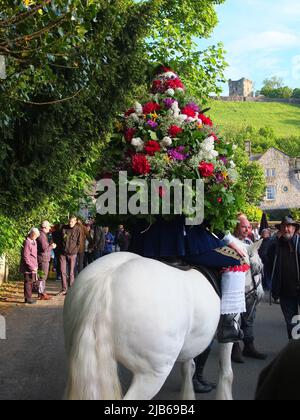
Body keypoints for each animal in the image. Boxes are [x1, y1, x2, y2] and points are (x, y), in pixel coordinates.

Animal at [63, 240, 262, 400]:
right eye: (259, 269)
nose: (259, 296)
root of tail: (106, 281)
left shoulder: (191, 342)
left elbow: (188, 368)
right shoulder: (226, 340)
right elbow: (227, 373)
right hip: (152, 374)